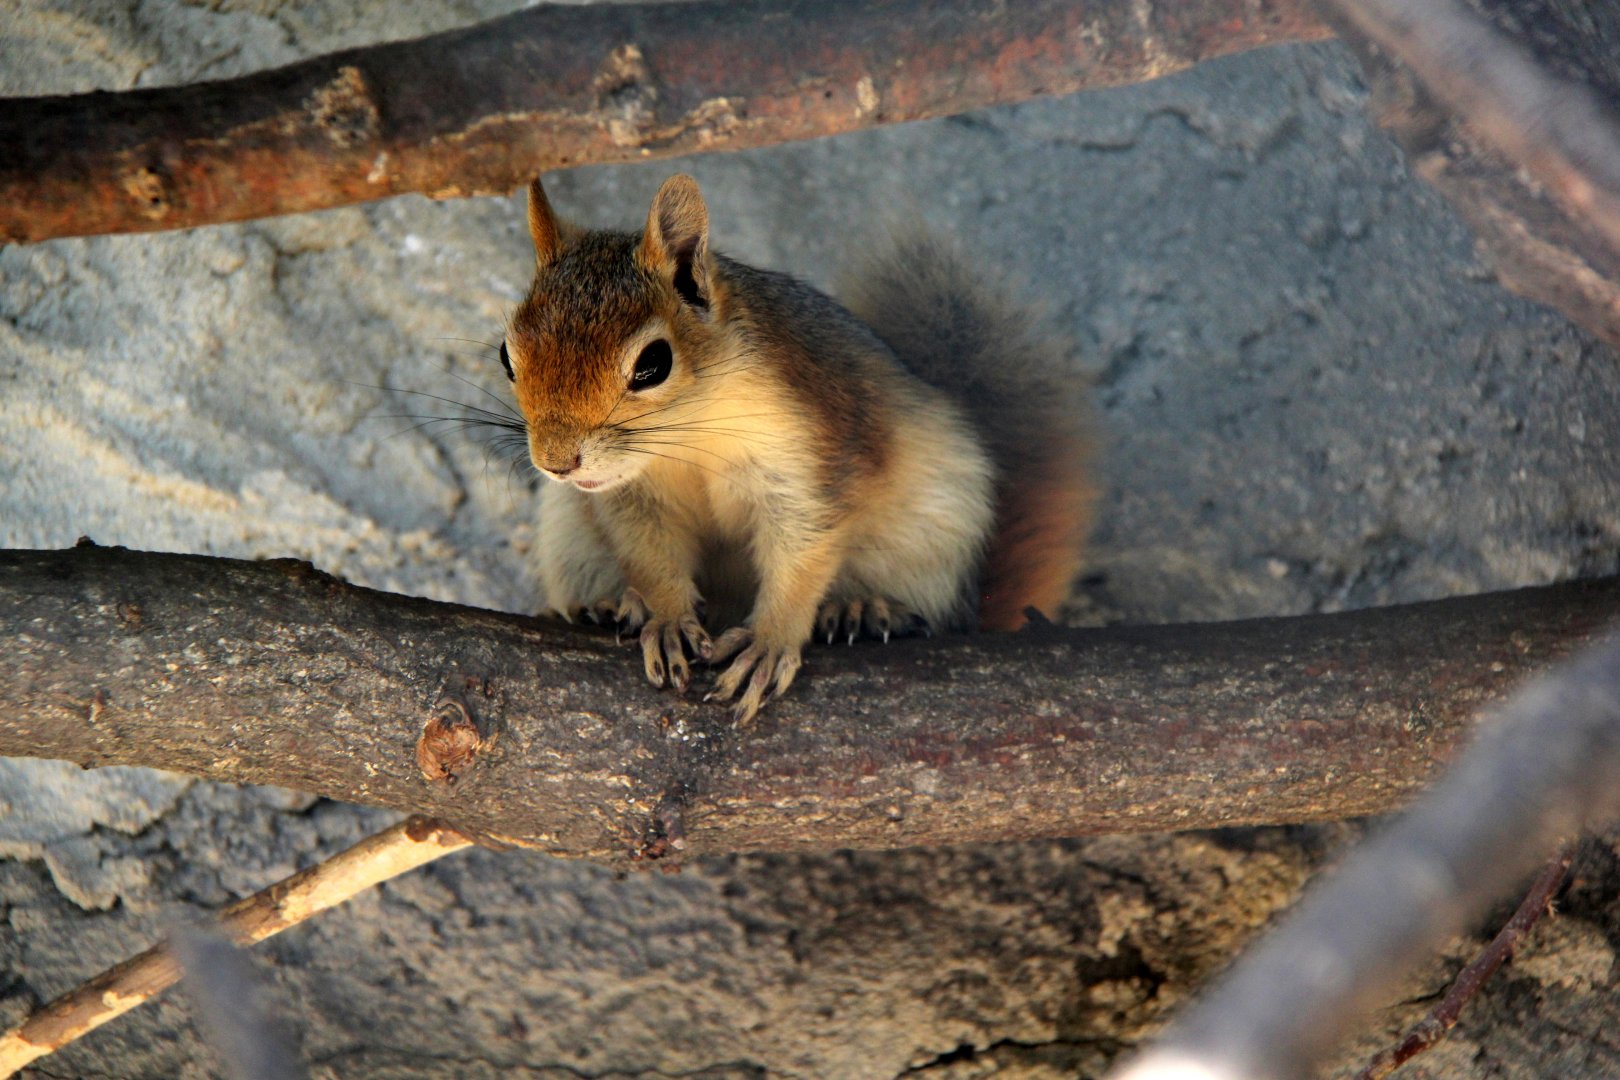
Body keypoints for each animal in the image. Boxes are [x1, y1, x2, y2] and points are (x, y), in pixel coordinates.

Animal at [502, 174, 1093, 723]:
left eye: (653, 364)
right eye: (507, 355)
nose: (557, 463)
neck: (691, 437)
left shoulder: (811, 463)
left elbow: (802, 556)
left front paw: (770, 641)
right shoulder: (632, 499)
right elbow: (650, 557)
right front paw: (667, 618)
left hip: (936, 529)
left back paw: (863, 608)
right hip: (569, 532)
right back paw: (609, 604)